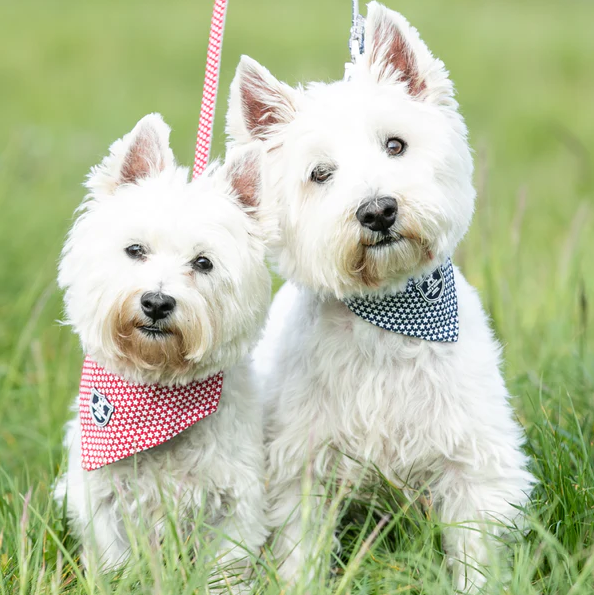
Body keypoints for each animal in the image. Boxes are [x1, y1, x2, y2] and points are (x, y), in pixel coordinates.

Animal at [53, 113, 270, 584]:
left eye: (203, 263)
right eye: (135, 249)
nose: (156, 302)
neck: (158, 386)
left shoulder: (236, 498)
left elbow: (225, 569)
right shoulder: (101, 496)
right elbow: (113, 560)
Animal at [225, 3, 532, 592]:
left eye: (395, 145)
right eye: (320, 174)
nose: (378, 211)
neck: (390, 317)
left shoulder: (473, 461)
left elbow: (474, 550)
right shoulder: (302, 465)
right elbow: (301, 552)